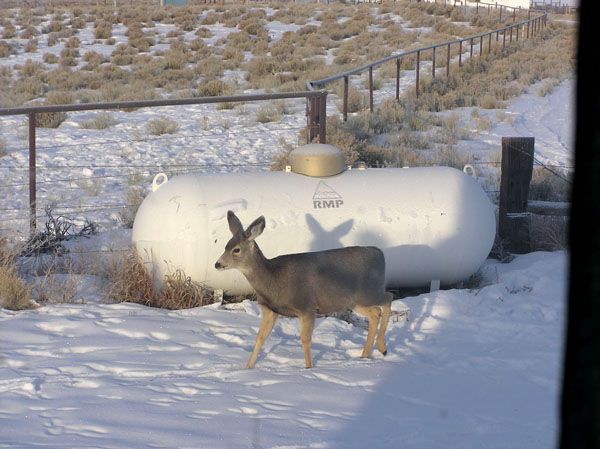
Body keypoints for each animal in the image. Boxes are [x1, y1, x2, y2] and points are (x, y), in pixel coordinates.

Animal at [216, 210, 394, 368]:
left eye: (236, 249)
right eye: (225, 246)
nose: (217, 264)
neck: (273, 279)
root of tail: (380, 253)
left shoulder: (306, 306)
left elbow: (305, 339)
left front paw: (308, 369)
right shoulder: (270, 310)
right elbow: (260, 337)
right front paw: (247, 368)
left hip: (369, 292)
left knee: (388, 297)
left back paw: (382, 348)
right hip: (354, 301)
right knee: (375, 313)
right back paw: (365, 355)